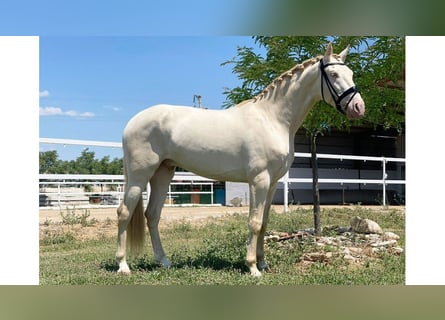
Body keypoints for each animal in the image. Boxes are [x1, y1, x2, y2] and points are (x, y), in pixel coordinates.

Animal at [114, 43, 364, 276]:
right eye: (334, 74)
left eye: (351, 73)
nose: (358, 107)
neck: (271, 119)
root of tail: (133, 121)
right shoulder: (259, 181)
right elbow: (254, 223)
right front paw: (252, 267)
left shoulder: (272, 183)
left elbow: (264, 223)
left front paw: (263, 263)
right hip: (139, 176)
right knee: (124, 212)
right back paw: (123, 265)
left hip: (163, 173)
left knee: (152, 215)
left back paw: (163, 261)